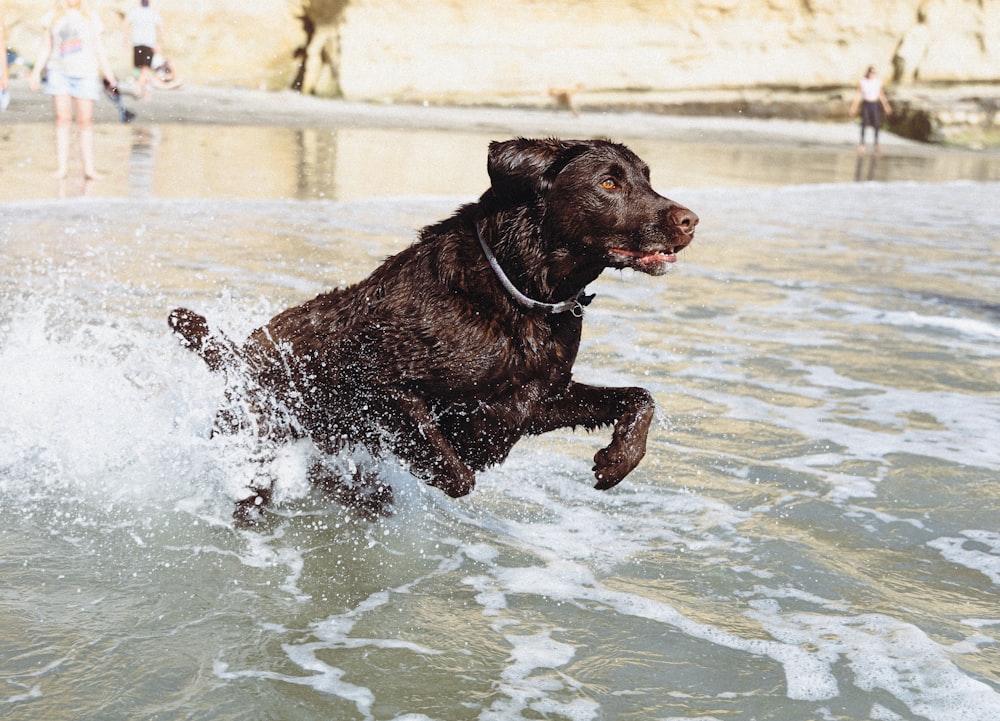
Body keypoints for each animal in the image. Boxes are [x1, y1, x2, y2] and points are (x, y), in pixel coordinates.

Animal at [168, 136, 700, 516]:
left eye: (647, 178)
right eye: (609, 183)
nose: (690, 220)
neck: (521, 294)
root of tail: (239, 352)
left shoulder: (538, 400)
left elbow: (640, 397)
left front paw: (618, 460)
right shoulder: (380, 381)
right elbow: (454, 468)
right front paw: (375, 482)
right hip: (253, 435)